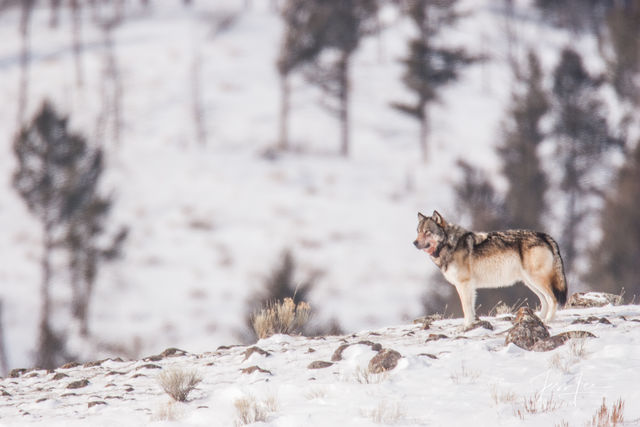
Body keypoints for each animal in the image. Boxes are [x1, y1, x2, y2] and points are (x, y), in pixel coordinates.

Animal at [416, 211, 568, 328]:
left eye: (427, 232)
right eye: (418, 232)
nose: (414, 242)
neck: (450, 244)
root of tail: (545, 236)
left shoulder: (464, 284)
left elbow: (466, 308)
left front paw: (467, 326)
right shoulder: (469, 287)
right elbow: (471, 309)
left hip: (536, 280)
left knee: (552, 299)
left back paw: (547, 320)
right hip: (530, 283)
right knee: (544, 300)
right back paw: (538, 319)